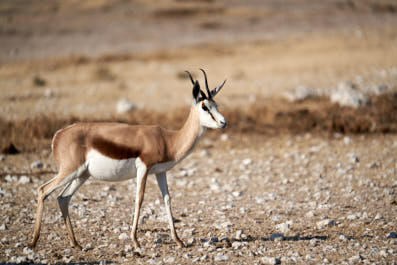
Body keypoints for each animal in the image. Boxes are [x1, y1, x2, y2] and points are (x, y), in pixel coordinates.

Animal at [28, 68, 226, 250]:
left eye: (216, 104)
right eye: (204, 107)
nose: (223, 122)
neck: (168, 139)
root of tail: (59, 134)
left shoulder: (160, 172)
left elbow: (167, 200)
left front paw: (178, 240)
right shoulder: (144, 168)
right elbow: (139, 199)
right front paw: (136, 241)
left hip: (81, 175)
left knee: (63, 198)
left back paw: (76, 243)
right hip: (70, 171)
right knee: (43, 190)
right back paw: (33, 242)